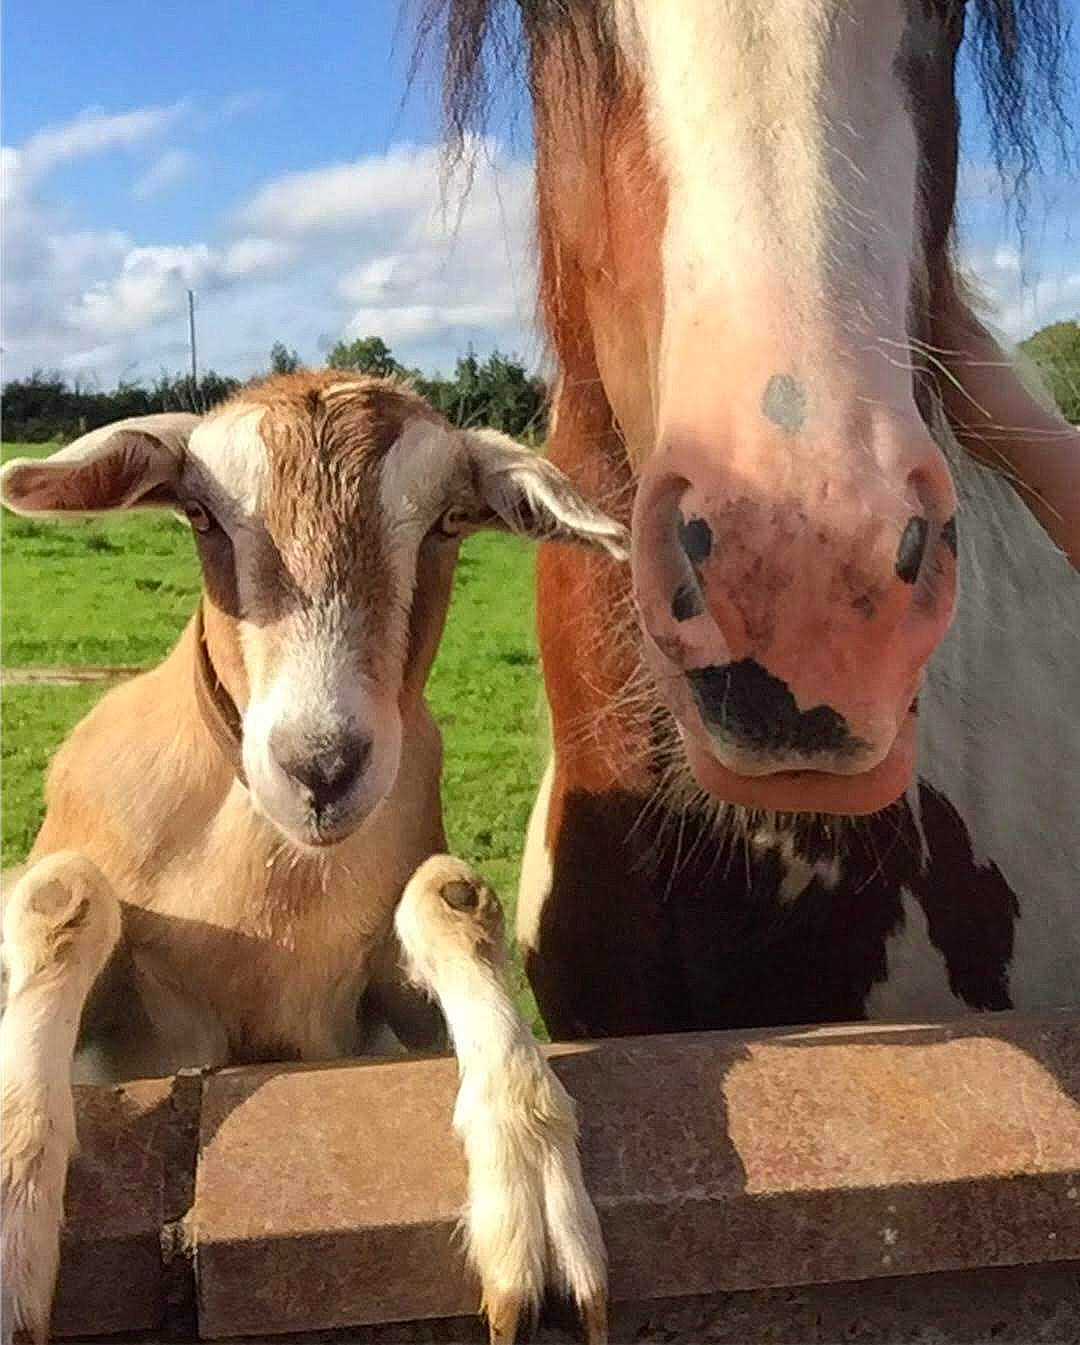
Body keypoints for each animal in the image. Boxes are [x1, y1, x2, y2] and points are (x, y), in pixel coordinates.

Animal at [0, 372, 622, 1344]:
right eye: (201, 515)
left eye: (450, 519)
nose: (321, 765)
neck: (264, 906)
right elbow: (62, 894)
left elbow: (448, 893)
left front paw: (540, 1221)